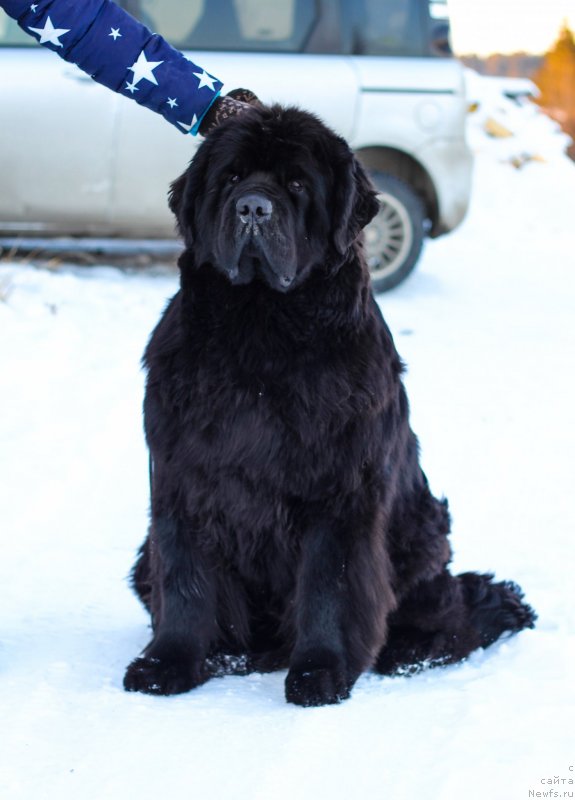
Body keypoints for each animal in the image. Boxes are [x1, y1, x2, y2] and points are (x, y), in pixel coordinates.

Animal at [124, 101, 536, 708]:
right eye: (230, 178)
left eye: (297, 184)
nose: (253, 206)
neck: (261, 326)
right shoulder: (184, 480)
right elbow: (184, 579)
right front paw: (168, 661)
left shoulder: (340, 491)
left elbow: (330, 585)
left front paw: (320, 671)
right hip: (141, 557)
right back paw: (235, 654)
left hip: (423, 533)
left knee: (452, 616)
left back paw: (409, 648)